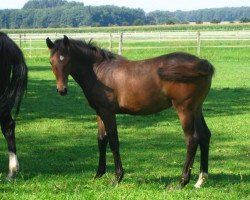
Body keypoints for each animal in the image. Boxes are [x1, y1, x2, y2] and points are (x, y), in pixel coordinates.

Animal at [46, 36, 214, 189]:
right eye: (51, 62)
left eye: (67, 60)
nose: (62, 90)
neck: (99, 72)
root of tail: (203, 63)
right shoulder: (100, 112)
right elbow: (101, 140)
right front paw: (99, 173)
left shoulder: (108, 113)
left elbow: (113, 141)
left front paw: (117, 178)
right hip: (196, 109)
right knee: (205, 136)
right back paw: (200, 180)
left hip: (185, 110)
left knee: (192, 140)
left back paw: (181, 182)